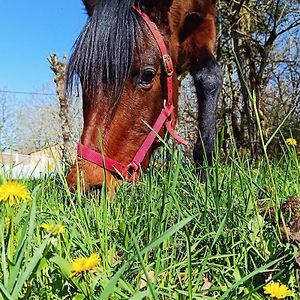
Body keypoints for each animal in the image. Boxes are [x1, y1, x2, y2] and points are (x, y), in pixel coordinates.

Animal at [67, 0, 224, 192]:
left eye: (147, 75)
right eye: (83, 76)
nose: (83, 188)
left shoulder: (206, 19)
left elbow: (208, 77)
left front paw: (205, 175)